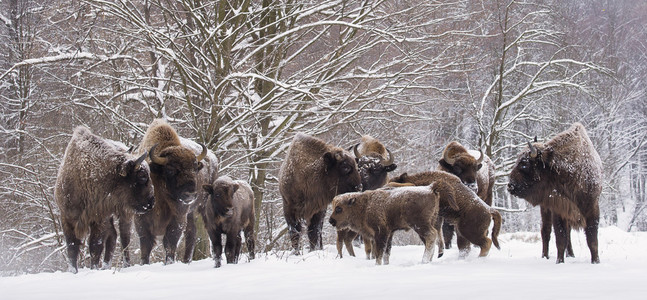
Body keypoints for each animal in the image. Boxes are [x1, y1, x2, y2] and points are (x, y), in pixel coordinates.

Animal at [53, 125, 154, 274]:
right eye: (142, 176)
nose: (151, 202)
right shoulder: (67, 217)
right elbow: (72, 247)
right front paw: (73, 271)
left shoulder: (98, 219)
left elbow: (95, 246)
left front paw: (94, 269)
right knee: (114, 236)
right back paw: (106, 265)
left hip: (125, 214)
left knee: (124, 238)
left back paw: (125, 265)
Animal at [134, 118, 208, 264]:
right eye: (170, 169)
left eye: (195, 168)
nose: (190, 194)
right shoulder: (141, 220)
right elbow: (145, 246)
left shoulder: (177, 219)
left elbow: (170, 244)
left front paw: (169, 262)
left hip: (198, 210)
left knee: (192, 234)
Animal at [508, 123, 604, 264]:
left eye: (524, 164)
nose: (510, 185)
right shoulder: (558, 210)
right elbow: (560, 238)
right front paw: (559, 262)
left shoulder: (592, 207)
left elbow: (592, 239)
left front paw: (596, 261)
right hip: (545, 209)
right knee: (546, 232)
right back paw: (545, 256)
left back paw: (571, 255)